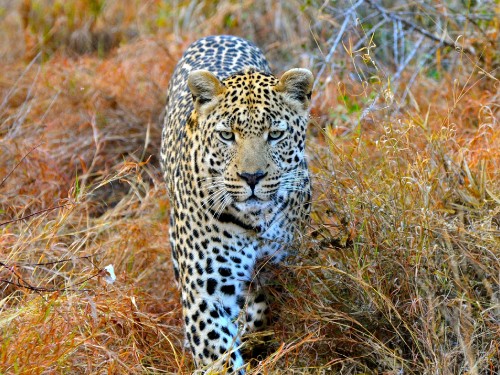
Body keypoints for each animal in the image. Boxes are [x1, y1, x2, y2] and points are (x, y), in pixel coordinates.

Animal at [161, 34, 312, 374]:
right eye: (227, 135)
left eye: (275, 134)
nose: (251, 177)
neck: (256, 220)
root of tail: (218, 35)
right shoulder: (206, 292)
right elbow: (217, 353)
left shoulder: (286, 265)